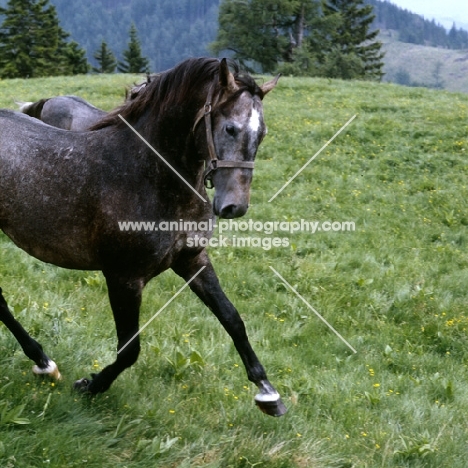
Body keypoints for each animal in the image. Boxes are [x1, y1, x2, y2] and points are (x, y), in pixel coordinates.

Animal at [0, 57, 286, 416]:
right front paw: (90, 385)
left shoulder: (192, 260)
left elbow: (233, 319)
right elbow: (130, 349)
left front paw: (268, 393)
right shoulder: (123, 277)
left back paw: (42, 362)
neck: (147, 175)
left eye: (262, 133)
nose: (235, 206)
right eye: (230, 128)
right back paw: (43, 362)